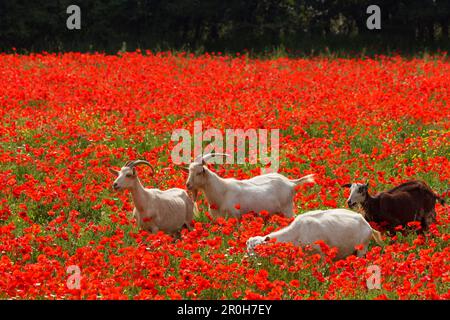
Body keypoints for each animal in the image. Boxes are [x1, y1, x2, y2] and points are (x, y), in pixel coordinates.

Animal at [183, 152, 312, 218]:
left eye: (199, 172)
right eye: (189, 171)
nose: (188, 185)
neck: (222, 192)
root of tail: (291, 182)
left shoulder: (235, 217)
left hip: (288, 210)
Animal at [246, 208, 384, 260]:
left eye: (257, 248)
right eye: (247, 249)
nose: (249, 260)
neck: (297, 233)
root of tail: (367, 225)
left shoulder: (321, 253)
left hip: (362, 249)